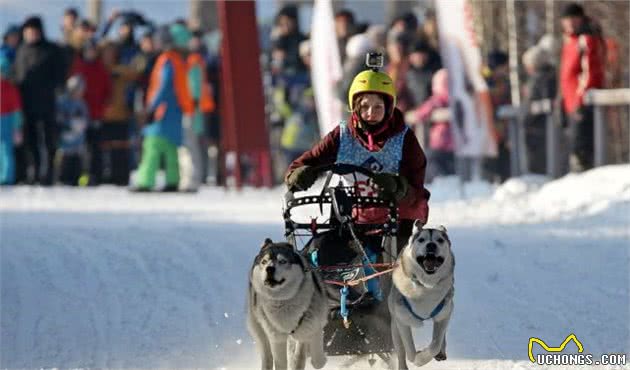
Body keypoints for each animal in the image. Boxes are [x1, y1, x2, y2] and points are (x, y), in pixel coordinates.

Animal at [247, 238, 328, 368]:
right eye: (264, 262)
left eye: (282, 261)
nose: (269, 268)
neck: (282, 301)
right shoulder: (277, 339)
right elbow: (282, 363)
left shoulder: (311, 328)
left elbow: (316, 360)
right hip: (259, 329)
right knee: (267, 355)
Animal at [388, 221, 456, 368]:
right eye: (421, 240)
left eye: (440, 240)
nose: (431, 245)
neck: (425, 286)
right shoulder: (402, 321)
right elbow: (409, 351)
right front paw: (417, 359)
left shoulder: (444, 314)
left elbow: (435, 343)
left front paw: (424, 357)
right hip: (395, 326)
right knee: (401, 351)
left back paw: (441, 351)